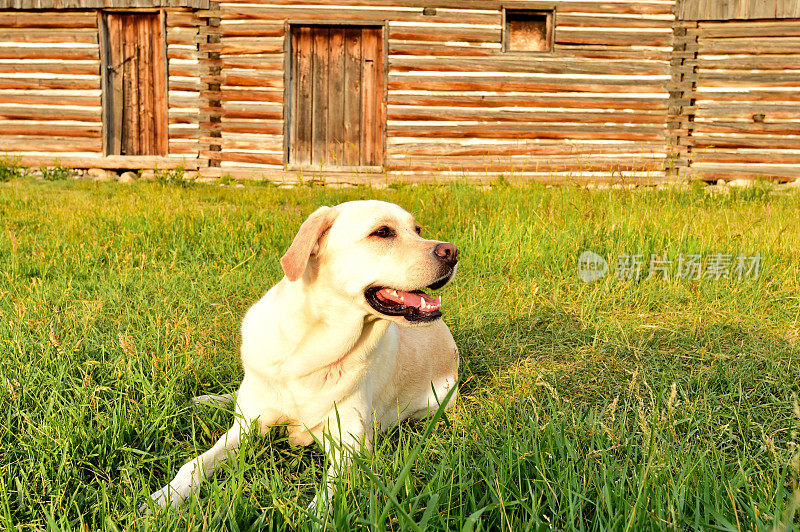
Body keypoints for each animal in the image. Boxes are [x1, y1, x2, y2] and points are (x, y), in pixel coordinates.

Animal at [147, 200, 460, 512]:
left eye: (417, 230)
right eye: (382, 232)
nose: (452, 252)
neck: (313, 350)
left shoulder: (350, 447)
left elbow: (326, 501)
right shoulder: (246, 426)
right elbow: (195, 464)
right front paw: (166, 496)